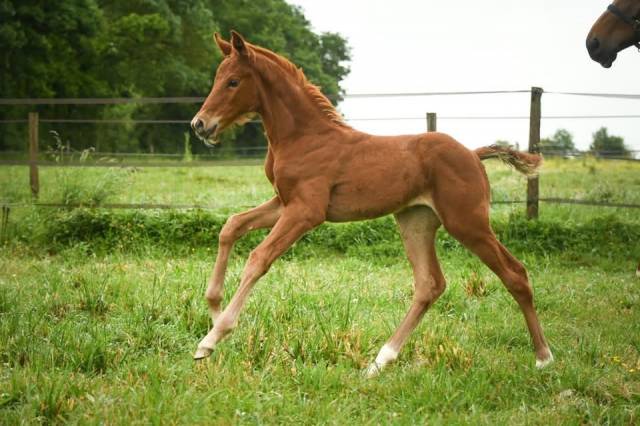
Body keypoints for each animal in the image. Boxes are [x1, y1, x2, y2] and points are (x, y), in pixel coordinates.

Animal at [190, 31, 554, 376]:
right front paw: (214, 308)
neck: (304, 138)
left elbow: (258, 257)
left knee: (515, 274)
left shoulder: (306, 211)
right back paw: (380, 362)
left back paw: (543, 358)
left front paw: (211, 339)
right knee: (429, 284)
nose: (199, 124)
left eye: (233, 81)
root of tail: (473, 154)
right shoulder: (284, 203)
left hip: (468, 223)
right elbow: (232, 225)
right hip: (416, 221)